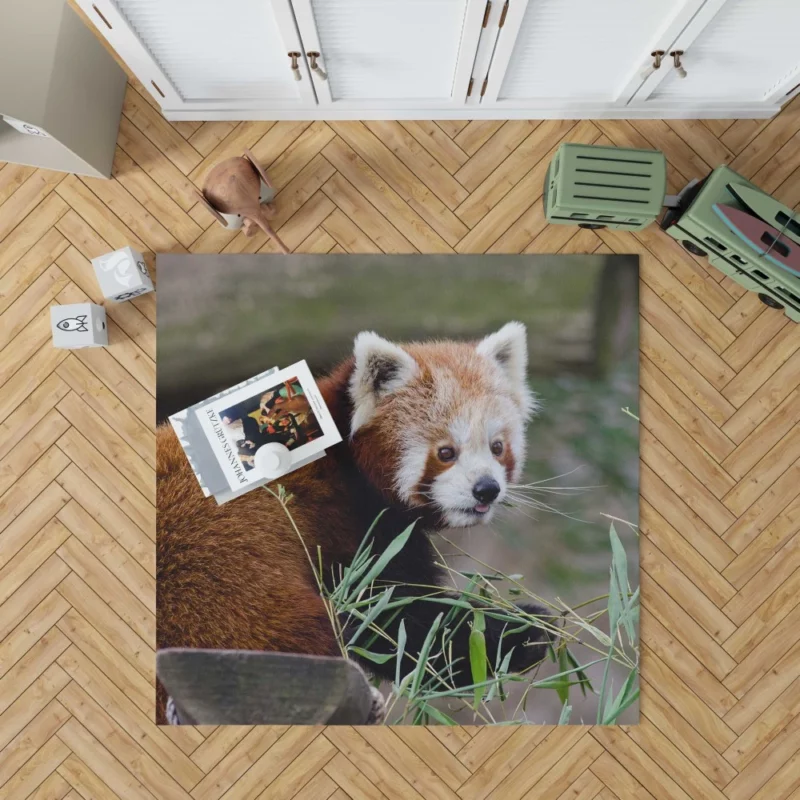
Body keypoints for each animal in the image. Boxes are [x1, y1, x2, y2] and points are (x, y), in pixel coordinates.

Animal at [159, 322, 552, 720]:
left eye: (497, 447)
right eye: (446, 452)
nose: (486, 489)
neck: (343, 460)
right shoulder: (342, 522)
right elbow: (397, 618)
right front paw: (520, 630)